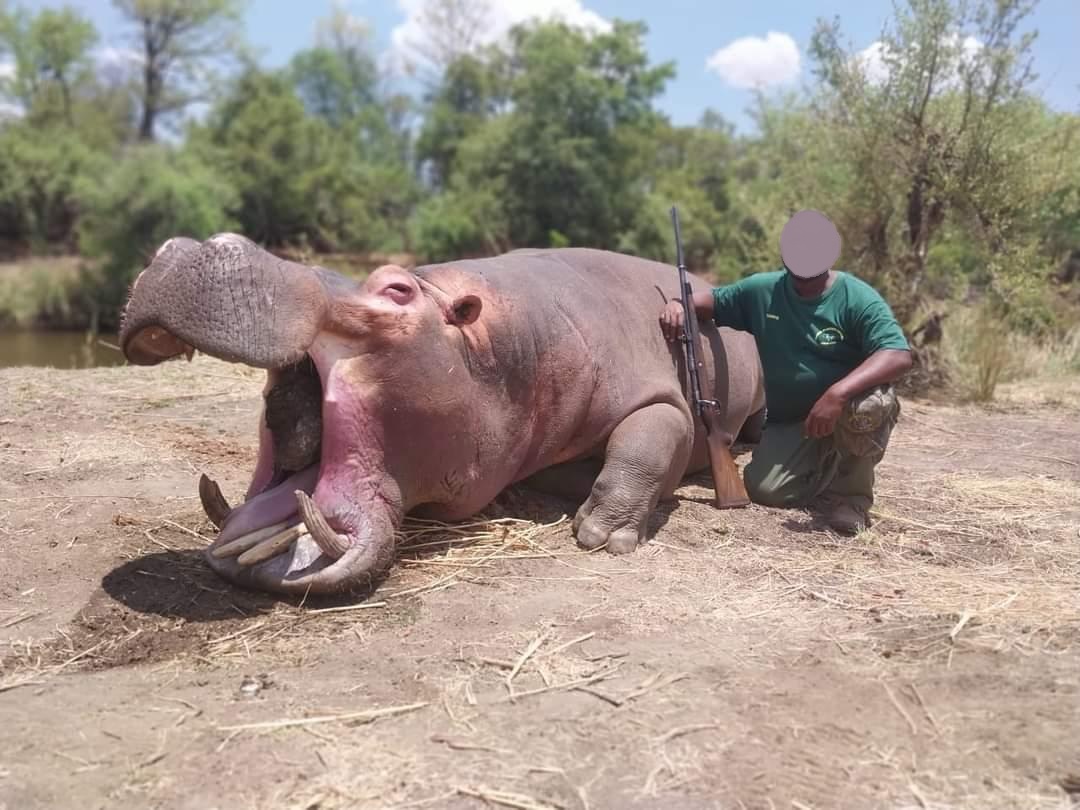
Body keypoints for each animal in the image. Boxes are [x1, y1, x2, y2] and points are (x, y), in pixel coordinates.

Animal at [119, 235, 766, 596]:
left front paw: (601, 536)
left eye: (398, 289)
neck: (494, 343)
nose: (190, 244)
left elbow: (647, 442)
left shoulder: (657, 396)